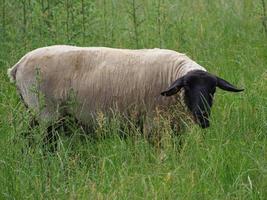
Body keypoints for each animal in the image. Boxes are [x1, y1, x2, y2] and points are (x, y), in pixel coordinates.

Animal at [7, 45, 243, 141]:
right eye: (187, 88)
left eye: (213, 90)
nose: (203, 119)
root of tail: (17, 66)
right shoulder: (153, 124)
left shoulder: (175, 127)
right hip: (46, 113)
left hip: (38, 113)